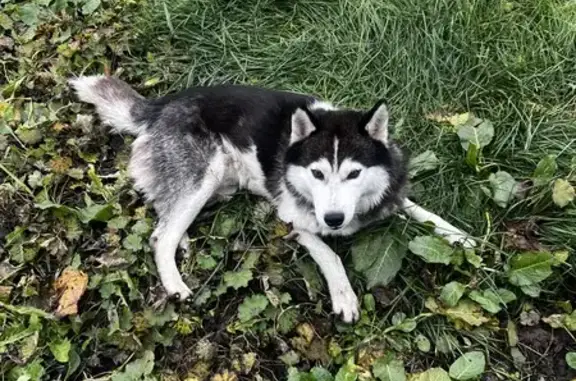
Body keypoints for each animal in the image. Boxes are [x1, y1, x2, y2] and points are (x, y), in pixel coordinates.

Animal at [70, 75, 474, 322]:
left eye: (354, 174)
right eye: (317, 174)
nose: (333, 220)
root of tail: (163, 104)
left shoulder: (388, 189)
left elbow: (421, 211)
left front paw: (460, 236)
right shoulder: (294, 217)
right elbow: (329, 254)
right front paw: (344, 296)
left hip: (218, 187)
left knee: (162, 212)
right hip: (206, 175)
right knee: (160, 236)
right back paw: (175, 284)